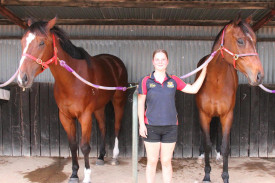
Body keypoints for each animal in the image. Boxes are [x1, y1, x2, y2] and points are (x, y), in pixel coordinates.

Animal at [17, 17, 128, 183]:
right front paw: (74, 174)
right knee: (103, 127)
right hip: (99, 107)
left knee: (116, 127)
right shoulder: (65, 116)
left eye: (41, 42)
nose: (22, 78)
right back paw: (101, 157)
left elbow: (85, 147)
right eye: (23, 41)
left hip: (118, 101)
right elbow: (73, 145)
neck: (72, 80)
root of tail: (115, 61)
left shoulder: (85, 116)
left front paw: (87, 176)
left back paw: (114, 157)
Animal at [196, 16, 266, 183]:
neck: (216, 81)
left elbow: (226, 146)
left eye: (255, 41)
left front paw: (225, 176)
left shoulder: (227, 116)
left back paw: (218, 156)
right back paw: (200, 156)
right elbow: (207, 144)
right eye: (240, 41)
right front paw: (206, 175)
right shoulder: (204, 115)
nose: (259, 76)